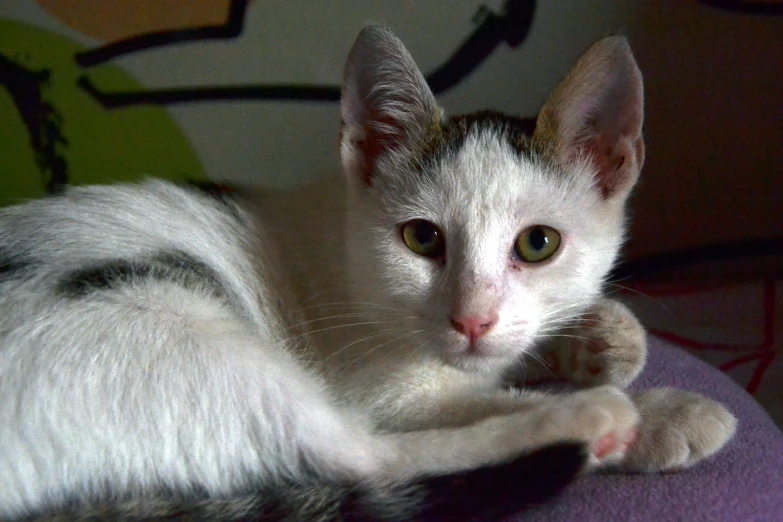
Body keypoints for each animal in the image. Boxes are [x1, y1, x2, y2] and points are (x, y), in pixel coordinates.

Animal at [0, 26, 736, 516]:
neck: (348, 253)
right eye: (421, 238)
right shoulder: (381, 388)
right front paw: (662, 411)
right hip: (174, 333)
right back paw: (587, 422)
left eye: (537, 245)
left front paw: (604, 337)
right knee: (363, 456)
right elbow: (466, 398)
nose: (471, 318)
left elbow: (511, 353)